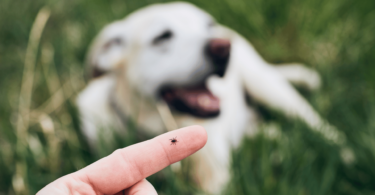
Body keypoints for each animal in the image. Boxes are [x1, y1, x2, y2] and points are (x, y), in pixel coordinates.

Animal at [76, 1, 344, 193]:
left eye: (208, 25)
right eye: (162, 37)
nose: (224, 47)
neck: (157, 125)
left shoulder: (216, 179)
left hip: (269, 88)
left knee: (319, 126)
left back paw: (344, 153)